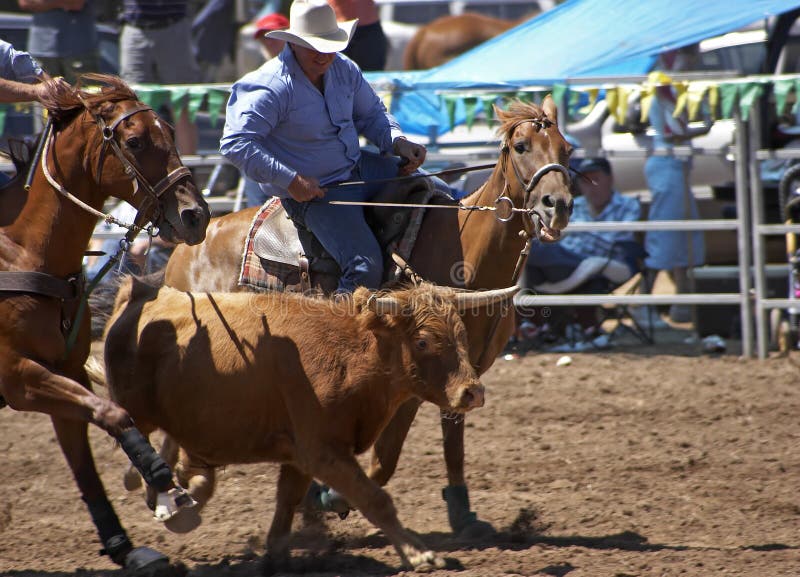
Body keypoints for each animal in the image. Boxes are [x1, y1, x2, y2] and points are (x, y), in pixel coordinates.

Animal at [0, 73, 209, 572]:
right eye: (134, 141)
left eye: (171, 133)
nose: (196, 215)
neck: (21, 253)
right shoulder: (16, 376)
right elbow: (114, 412)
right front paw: (162, 480)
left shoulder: (64, 372)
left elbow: (88, 453)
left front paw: (125, 547)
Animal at [95, 280, 520, 572]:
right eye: (423, 341)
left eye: (461, 334)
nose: (472, 392)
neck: (349, 355)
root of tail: (139, 293)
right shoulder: (322, 451)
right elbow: (375, 499)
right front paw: (419, 554)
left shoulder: (299, 455)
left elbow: (287, 502)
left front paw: (276, 558)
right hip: (136, 411)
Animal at [166, 98, 572, 536]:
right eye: (520, 146)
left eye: (566, 149)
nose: (558, 206)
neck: (467, 252)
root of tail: (186, 248)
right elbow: (386, 457)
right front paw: (332, 496)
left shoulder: (462, 370)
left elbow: (453, 445)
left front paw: (463, 514)